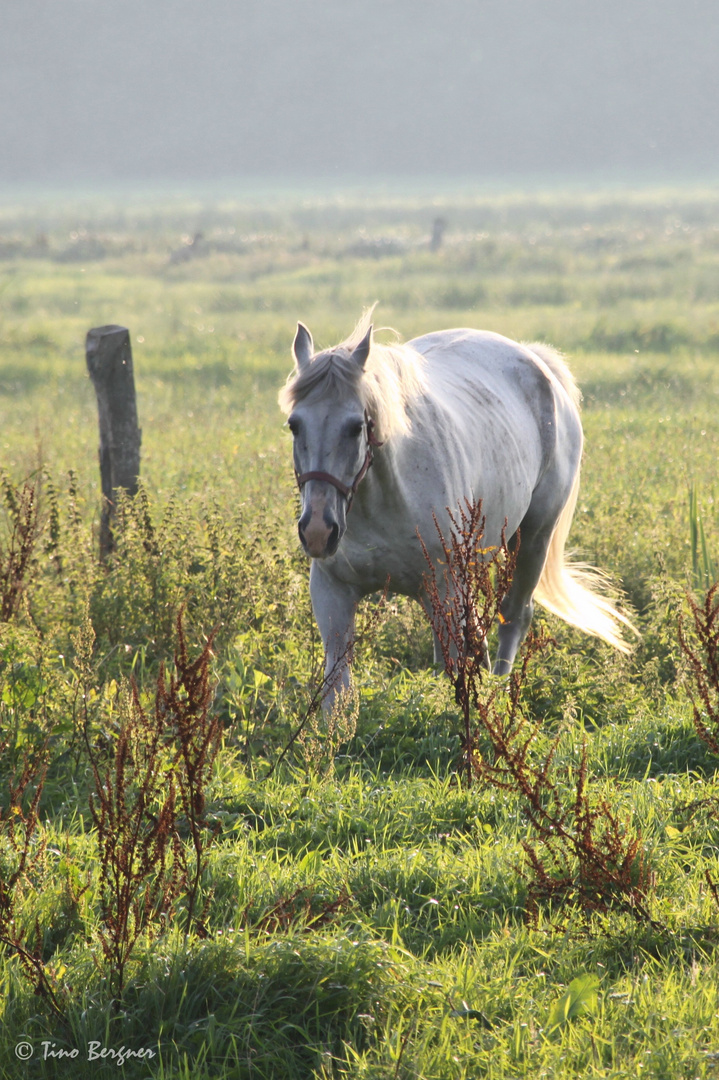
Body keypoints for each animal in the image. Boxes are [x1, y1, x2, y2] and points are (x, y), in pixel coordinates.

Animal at [276, 308, 630, 704]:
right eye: (294, 425)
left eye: (355, 427)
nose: (318, 532)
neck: (384, 500)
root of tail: (538, 361)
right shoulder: (333, 592)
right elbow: (336, 693)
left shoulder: (447, 589)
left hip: (534, 538)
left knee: (513, 616)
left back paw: (500, 688)